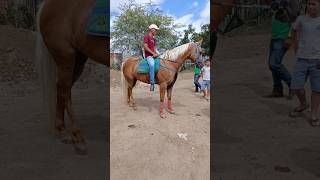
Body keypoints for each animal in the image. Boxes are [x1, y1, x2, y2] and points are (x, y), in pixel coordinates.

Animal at [34, 0, 108, 155]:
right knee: (65, 91)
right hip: (65, 56)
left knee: (61, 89)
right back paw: (77, 138)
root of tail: (46, 5)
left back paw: (62, 131)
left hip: (78, 58)